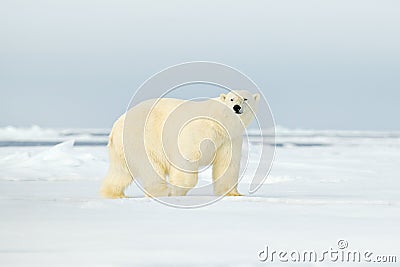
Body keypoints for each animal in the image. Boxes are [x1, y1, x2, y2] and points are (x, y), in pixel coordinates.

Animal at [101, 90, 260, 199]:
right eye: (232, 98)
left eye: (245, 98)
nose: (236, 107)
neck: (219, 122)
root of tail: (115, 126)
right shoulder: (197, 132)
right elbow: (187, 159)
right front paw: (176, 191)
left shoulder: (229, 139)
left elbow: (227, 163)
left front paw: (233, 194)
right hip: (143, 139)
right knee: (149, 167)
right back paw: (161, 191)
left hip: (124, 148)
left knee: (120, 172)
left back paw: (113, 193)